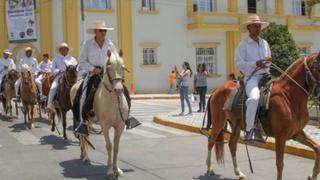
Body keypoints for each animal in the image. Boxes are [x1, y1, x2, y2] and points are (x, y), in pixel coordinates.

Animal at [70, 50, 129, 178]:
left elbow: (116, 147)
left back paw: (83, 155)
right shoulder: (104, 125)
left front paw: (117, 169)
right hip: (82, 120)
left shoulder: (120, 126)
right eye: (109, 67)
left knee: (84, 137)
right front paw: (110, 171)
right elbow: (109, 146)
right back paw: (86, 157)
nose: (118, 89)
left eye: (122, 67)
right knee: (82, 136)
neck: (113, 100)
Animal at [206, 52, 320, 180]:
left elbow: (317, 148)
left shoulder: (296, 133)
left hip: (236, 125)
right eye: (317, 67)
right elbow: (280, 163)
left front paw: (313, 175)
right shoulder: (281, 137)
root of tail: (217, 90)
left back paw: (239, 173)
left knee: (232, 144)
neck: (289, 96)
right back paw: (209, 168)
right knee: (211, 140)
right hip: (218, 123)